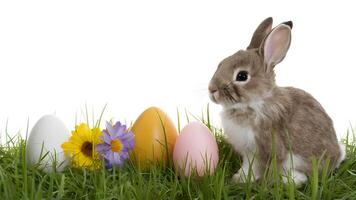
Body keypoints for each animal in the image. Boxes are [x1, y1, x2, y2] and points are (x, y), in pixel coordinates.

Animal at [209, 17, 344, 186]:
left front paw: (245, 180)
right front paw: (239, 178)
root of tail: (338, 156)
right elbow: (247, 166)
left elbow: (256, 167)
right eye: (221, 63)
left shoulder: (262, 149)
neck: (255, 103)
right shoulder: (247, 152)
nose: (212, 89)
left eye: (242, 76)